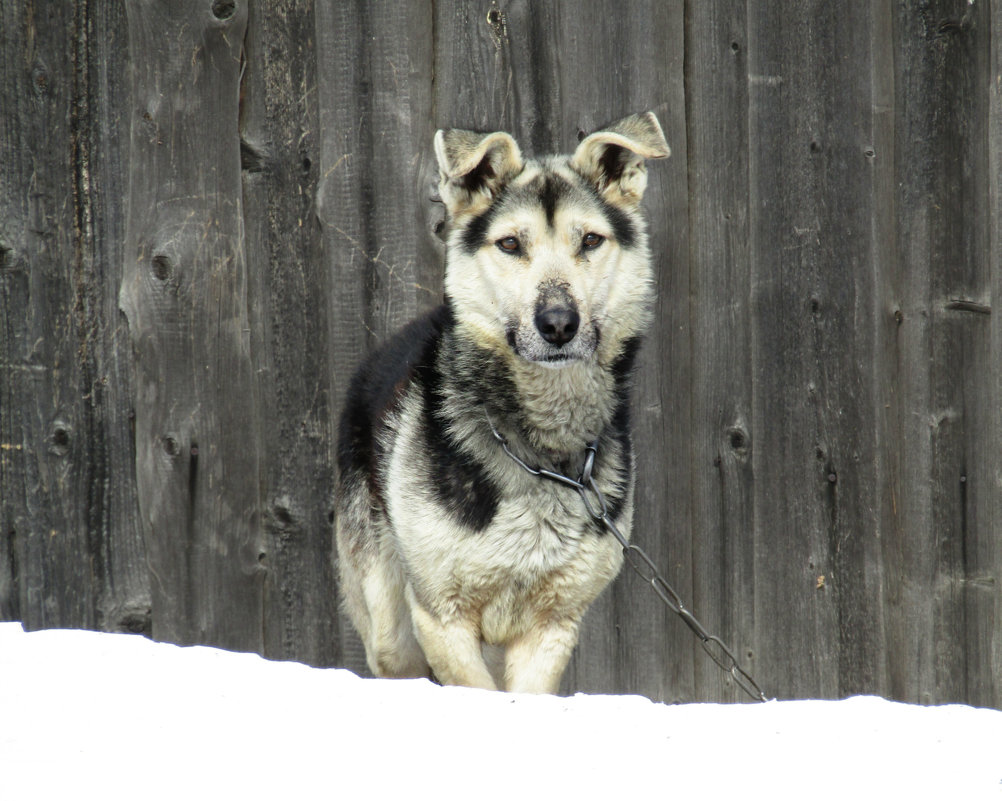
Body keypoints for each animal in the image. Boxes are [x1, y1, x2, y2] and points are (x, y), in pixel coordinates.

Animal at [332, 112, 669, 693]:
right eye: (510, 244)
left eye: (590, 240)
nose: (558, 324)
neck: (540, 453)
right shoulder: (441, 617)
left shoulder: (552, 625)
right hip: (390, 628)